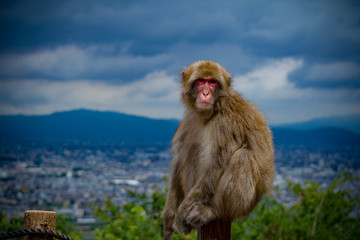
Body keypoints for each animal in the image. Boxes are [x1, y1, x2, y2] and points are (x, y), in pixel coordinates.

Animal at [162, 60, 274, 238]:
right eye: (201, 81)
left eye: (213, 82)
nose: (206, 93)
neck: (212, 112)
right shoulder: (190, 119)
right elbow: (180, 159)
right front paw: (169, 216)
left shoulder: (225, 124)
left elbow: (215, 166)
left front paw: (179, 215)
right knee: (193, 153)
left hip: (246, 204)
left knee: (242, 157)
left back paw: (213, 211)